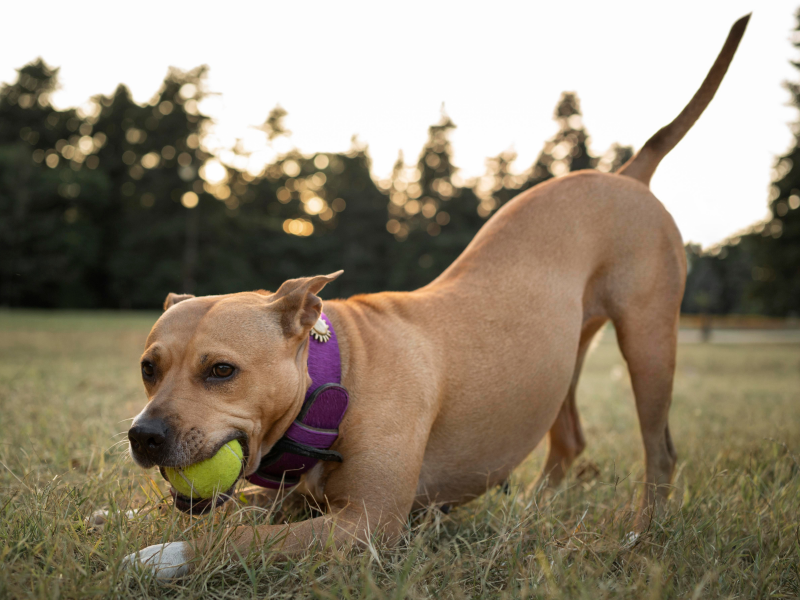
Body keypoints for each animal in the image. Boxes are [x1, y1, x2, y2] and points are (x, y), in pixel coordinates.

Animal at [122, 16, 748, 580]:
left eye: (221, 370)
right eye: (149, 368)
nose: (144, 436)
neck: (335, 376)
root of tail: (627, 174)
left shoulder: (366, 523)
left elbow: (238, 539)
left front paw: (161, 555)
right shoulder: (294, 499)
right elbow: (217, 516)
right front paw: (123, 518)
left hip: (648, 339)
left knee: (660, 450)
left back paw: (642, 535)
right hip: (563, 357)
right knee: (570, 440)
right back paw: (531, 516)